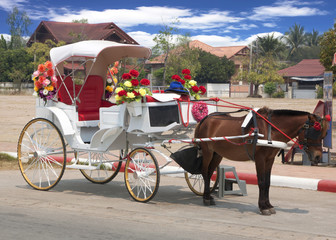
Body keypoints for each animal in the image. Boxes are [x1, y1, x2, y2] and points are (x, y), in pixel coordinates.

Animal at [196, 107, 330, 216]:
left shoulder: (269, 159)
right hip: (207, 152)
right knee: (205, 172)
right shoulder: (260, 158)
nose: (318, 157)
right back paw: (206, 198)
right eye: (314, 132)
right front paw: (263, 207)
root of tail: (206, 119)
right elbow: (261, 182)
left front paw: (268, 205)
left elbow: (267, 182)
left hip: (217, 154)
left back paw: (208, 196)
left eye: (323, 135)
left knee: (209, 172)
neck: (270, 129)